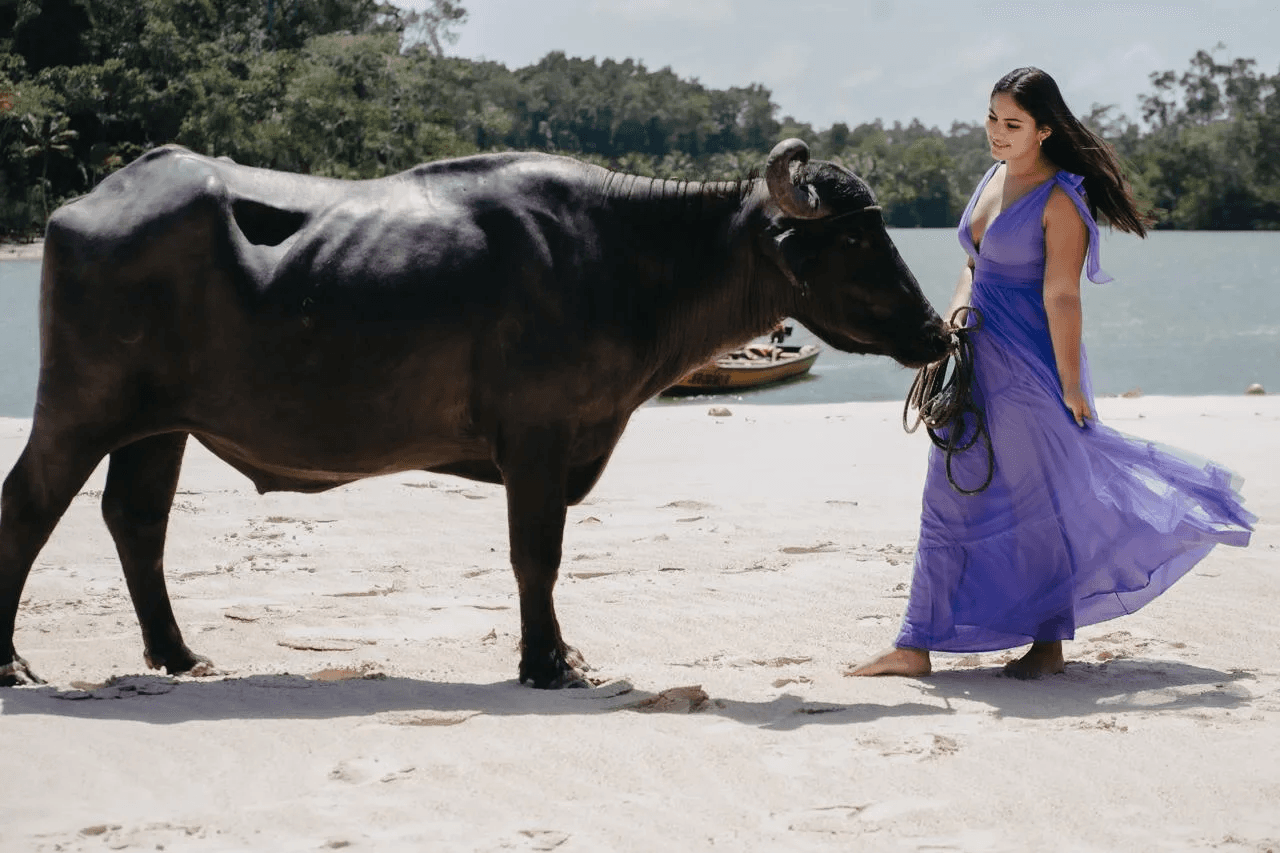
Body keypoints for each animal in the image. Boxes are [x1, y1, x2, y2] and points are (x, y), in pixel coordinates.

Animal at [0, 139, 946, 689]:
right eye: (855, 238)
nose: (938, 328)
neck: (624, 257)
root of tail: (105, 192)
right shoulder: (537, 437)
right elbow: (537, 555)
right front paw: (548, 661)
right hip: (80, 407)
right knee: (28, 508)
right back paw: (14, 662)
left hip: (159, 425)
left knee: (136, 519)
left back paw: (178, 654)